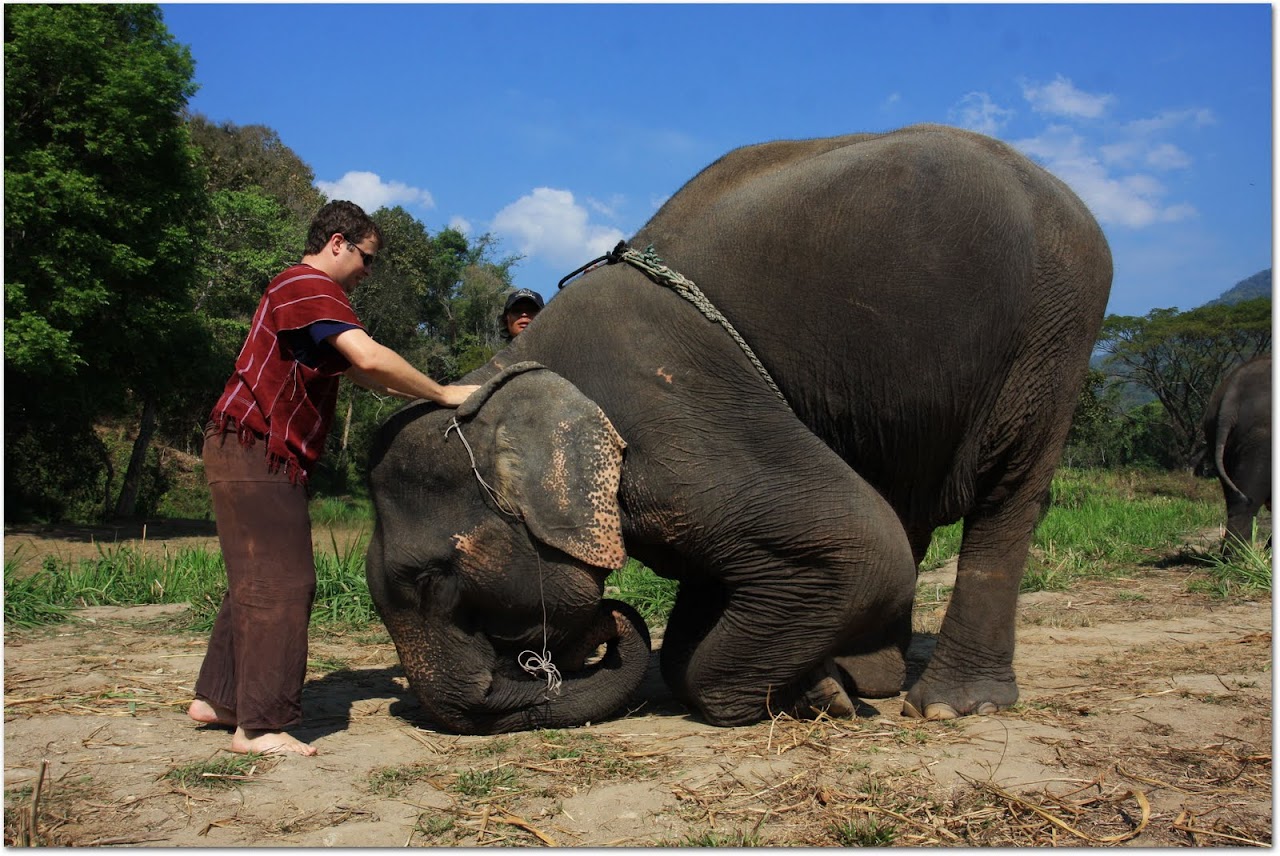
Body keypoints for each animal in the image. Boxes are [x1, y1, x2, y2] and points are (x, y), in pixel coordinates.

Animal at [365, 123, 1113, 734]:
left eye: (430, 579)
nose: (608, 626)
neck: (504, 371)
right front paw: (822, 687)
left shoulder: (675, 418)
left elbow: (859, 542)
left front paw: (816, 697)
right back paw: (876, 674)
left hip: (1052, 334)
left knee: (1005, 494)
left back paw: (951, 705)